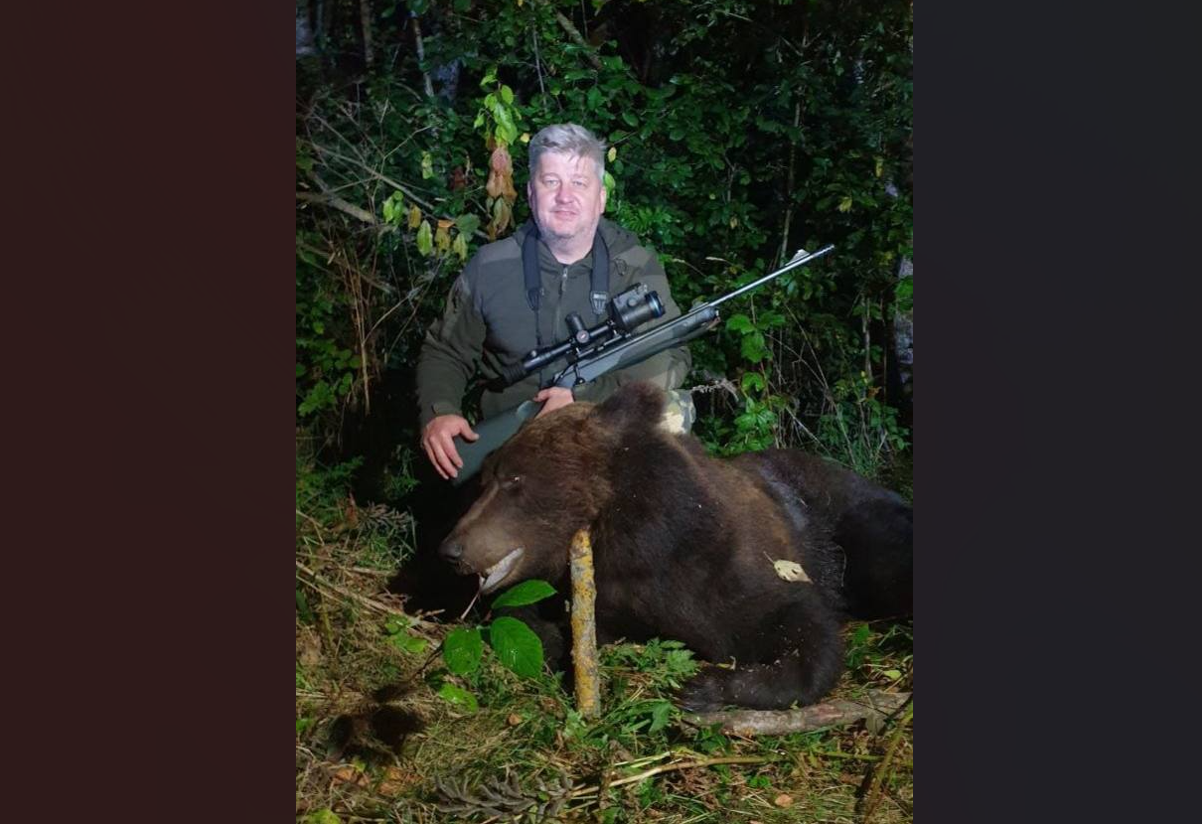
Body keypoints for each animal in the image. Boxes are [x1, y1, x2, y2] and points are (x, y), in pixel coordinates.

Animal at [437, 381, 912, 712]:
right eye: (486, 480)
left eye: (514, 480)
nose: (451, 549)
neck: (634, 544)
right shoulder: (605, 594)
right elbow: (527, 617)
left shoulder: (722, 565)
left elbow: (802, 628)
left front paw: (702, 686)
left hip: (847, 523)